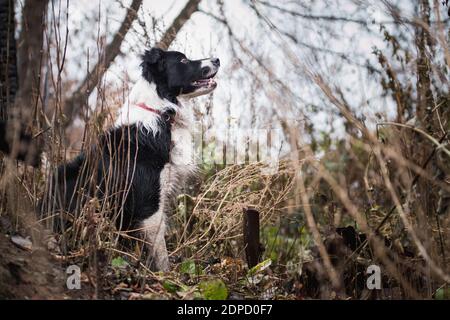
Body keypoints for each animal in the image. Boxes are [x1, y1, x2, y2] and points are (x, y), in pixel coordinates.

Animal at [46, 47, 220, 270]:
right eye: (183, 60)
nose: (217, 59)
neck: (163, 113)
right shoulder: (149, 202)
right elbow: (160, 250)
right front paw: (164, 274)